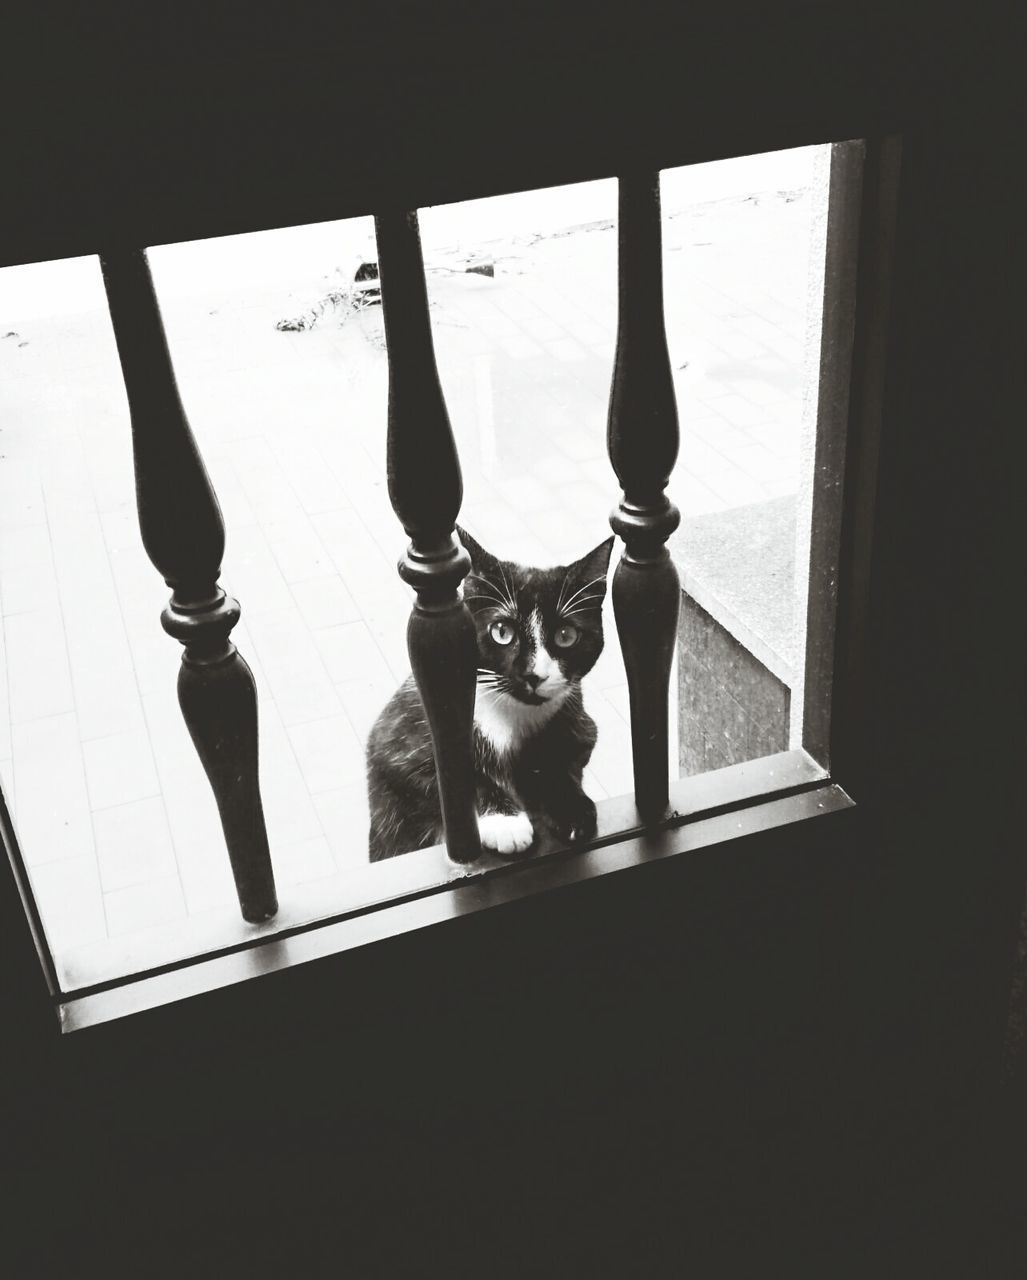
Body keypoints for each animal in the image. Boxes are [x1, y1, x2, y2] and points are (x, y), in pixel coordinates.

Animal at [366, 524, 612, 865]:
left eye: (566, 636)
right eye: (502, 632)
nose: (534, 675)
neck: (510, 714)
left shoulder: (580, 725)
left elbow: (565, 759)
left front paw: (570, 807)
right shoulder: (396, 741)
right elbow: (448, 774)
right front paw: (505, 822)